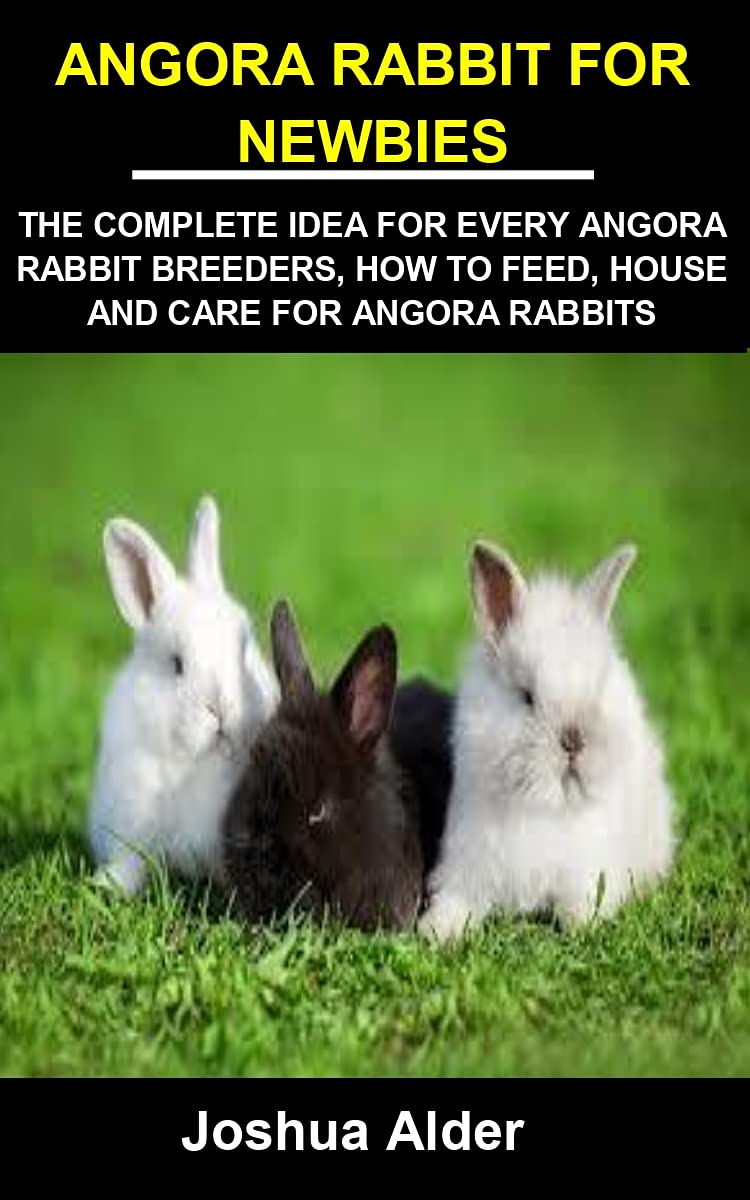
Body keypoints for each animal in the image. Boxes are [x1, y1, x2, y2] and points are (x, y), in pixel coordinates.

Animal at [89, 496, 279, 896]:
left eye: (244, 647)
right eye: (176, 664)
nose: (220, 708)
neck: (200, 764)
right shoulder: (131, 820)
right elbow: (131, 862)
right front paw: (109, 886)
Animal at [420, 540, 675, 941]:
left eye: (597, 691)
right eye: (527, 696)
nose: (572, 739)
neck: (545, 805)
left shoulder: (588, 872)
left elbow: (582, 905)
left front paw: (583, 926)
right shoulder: (467, 864)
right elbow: (458, 901)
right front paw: (437, 931)